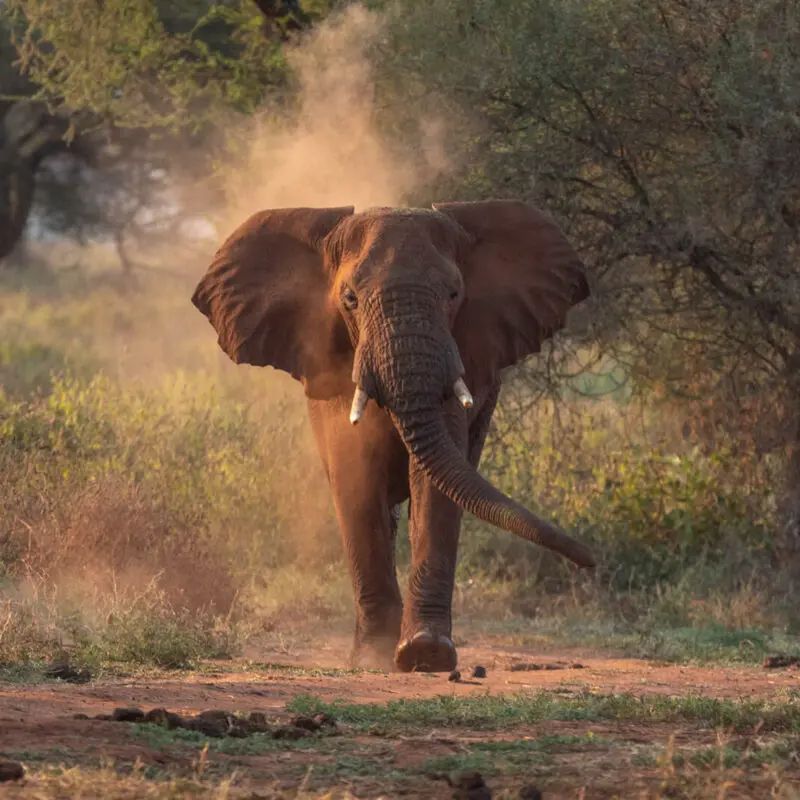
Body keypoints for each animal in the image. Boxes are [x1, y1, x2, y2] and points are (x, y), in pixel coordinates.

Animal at [191, 199, 595, 673]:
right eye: (350, 299)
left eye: (453, 294)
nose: (590, 560)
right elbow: (356, 475)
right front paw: (373, 658)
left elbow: (435, 486)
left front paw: (426, 652)